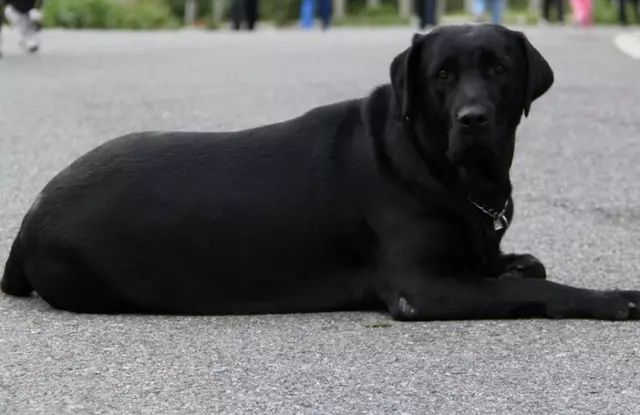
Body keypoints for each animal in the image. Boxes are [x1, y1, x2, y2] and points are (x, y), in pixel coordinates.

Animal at [2, 24, 636, 320]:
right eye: (442, 75)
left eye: (499, 68)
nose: (473, 119)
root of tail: (30, 217)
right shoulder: (422, 288)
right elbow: (537, 286)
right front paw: (615, 298)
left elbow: (524, 266)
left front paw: (512, 262)